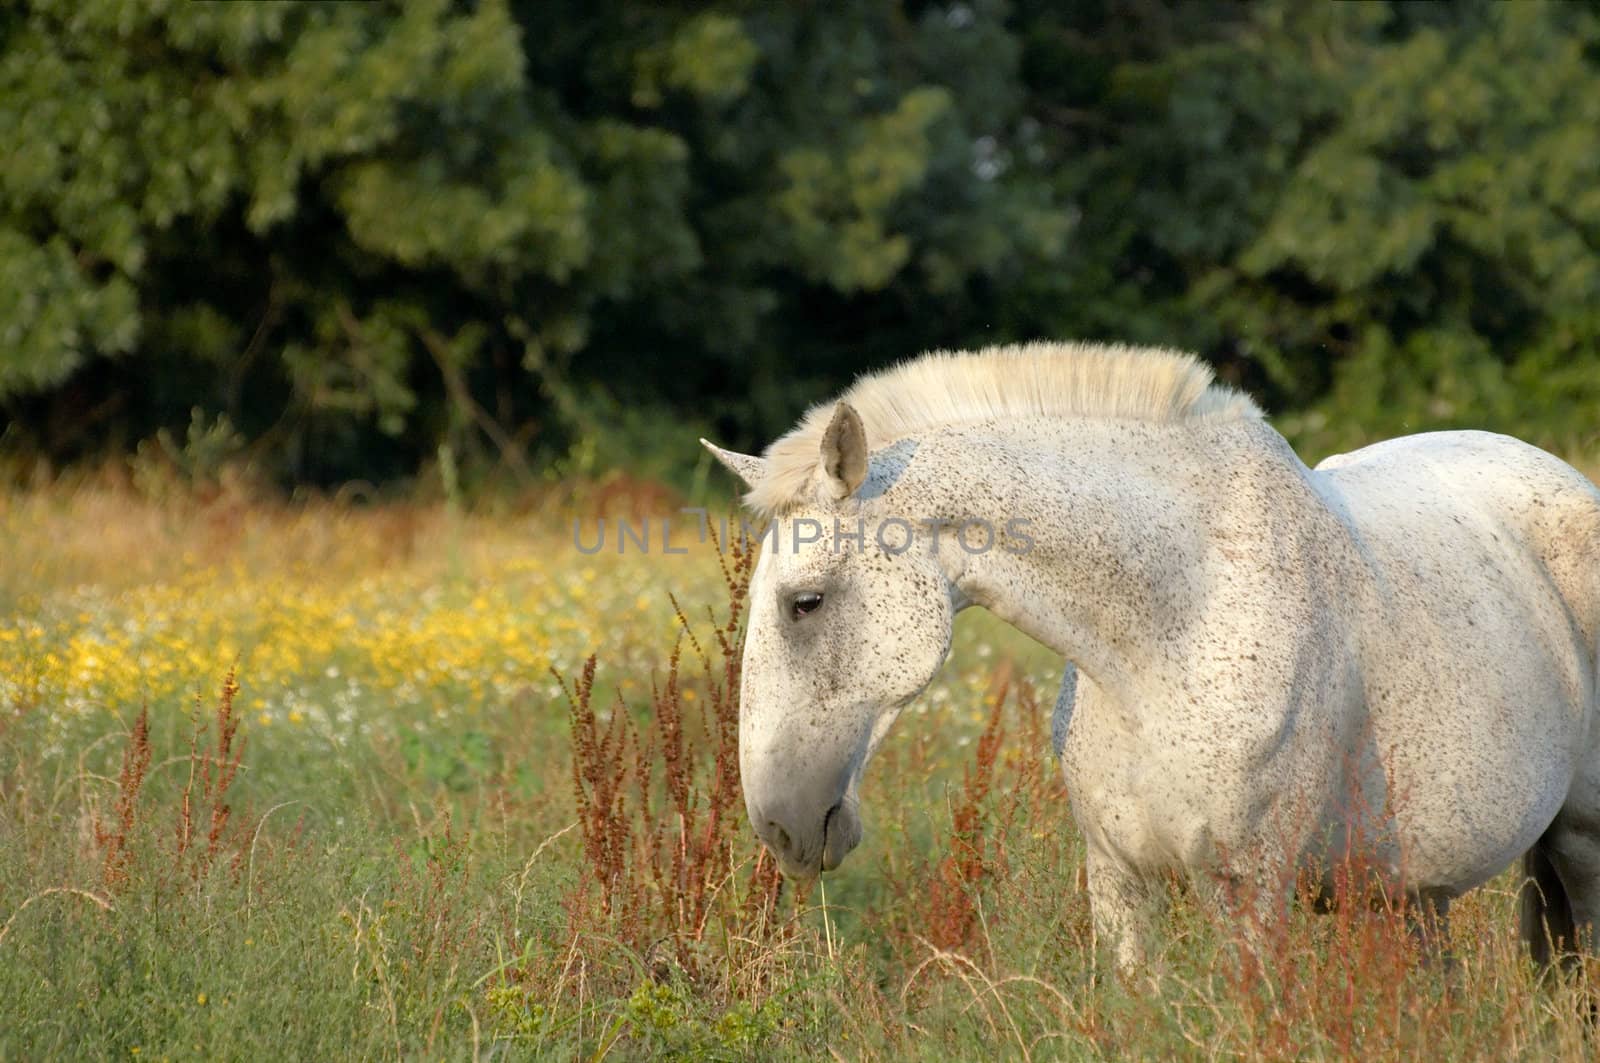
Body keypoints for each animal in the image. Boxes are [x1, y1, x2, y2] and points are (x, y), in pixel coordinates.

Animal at [704, 340, 1600, 973]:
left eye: (805, 603)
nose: (778, 827)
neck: (1171, 632)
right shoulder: (1120, 885)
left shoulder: (1250, 896)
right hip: (1413, 894)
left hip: (1580, 849)